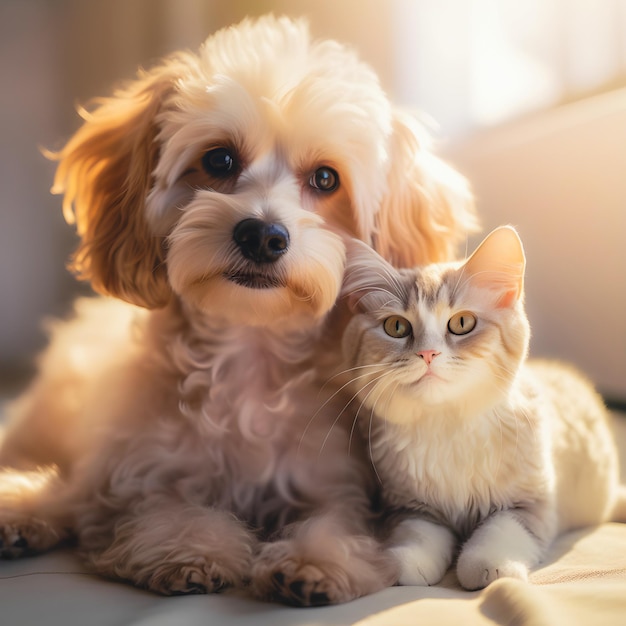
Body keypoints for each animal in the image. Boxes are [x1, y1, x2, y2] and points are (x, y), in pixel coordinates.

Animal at [0, 12, 472, 604]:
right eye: (219, 159)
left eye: (326, 178)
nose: (263, 235)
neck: (250, 352)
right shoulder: (142, 473)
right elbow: (163, 512)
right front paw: (194, 550)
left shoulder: (330, 479)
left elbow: (334, 523)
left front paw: (314, 563)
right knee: (69, 486)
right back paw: (23, 510)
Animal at [334, 227, 624, 588]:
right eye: (396, 327)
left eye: (462, 323)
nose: (427, 353)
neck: (448, 424)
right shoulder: (409, 506)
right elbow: (416, 534)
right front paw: (404, 562)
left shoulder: (531, 503)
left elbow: (499, 531)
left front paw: (488, 565)